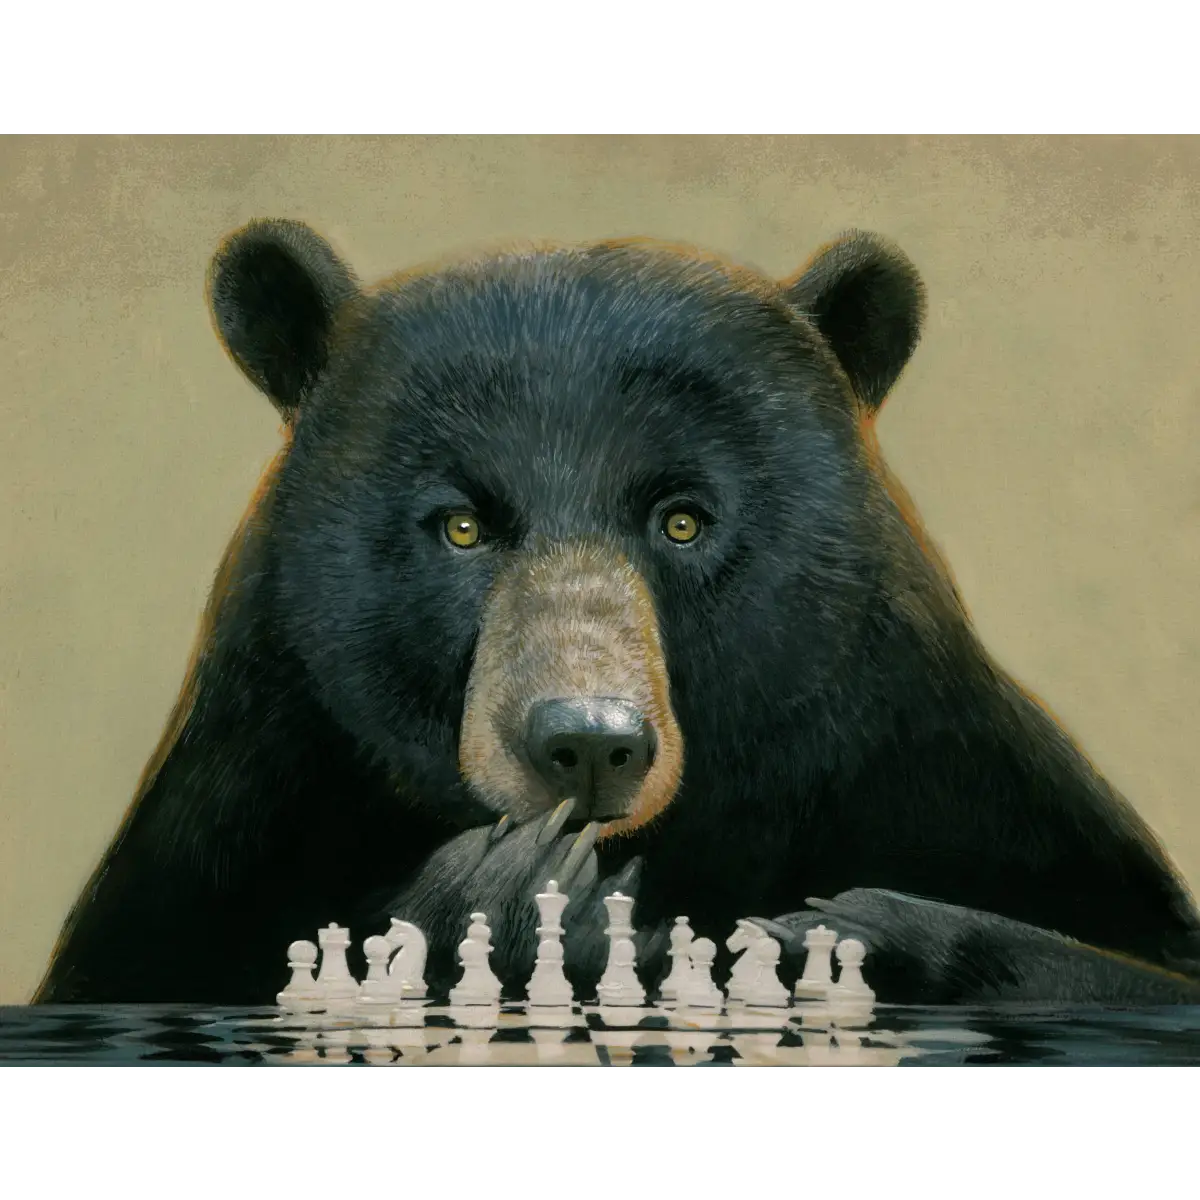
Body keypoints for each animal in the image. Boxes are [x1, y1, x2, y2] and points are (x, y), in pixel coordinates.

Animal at [33, 218, 1200, 1009]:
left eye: (682, 520)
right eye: (463, 526)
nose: (587, 744)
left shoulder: (948, 774)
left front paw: (838, 927)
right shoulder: (242, 809)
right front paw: (524, 893)